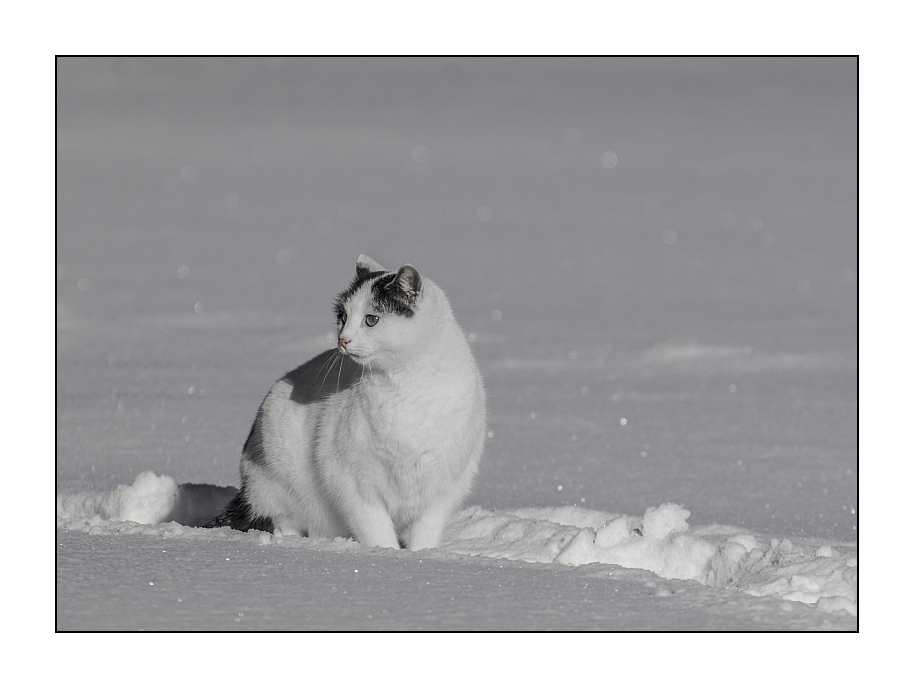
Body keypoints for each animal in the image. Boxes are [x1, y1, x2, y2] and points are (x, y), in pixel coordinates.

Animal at [207, 255, 484, 552]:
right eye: (343, 318)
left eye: (372, 320)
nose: (343, 339)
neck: (408, 389)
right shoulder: (352, 484)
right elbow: (377, 533)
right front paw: (386, 553)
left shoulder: (442, 492)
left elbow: (425, 537)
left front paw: (421, 555)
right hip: (277, 478)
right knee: (286, 521)